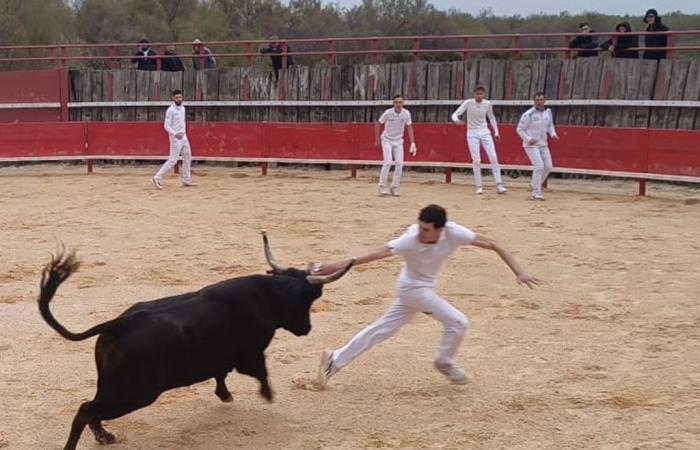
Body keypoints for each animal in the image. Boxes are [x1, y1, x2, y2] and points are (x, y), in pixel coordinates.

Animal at [36, 234, 352, 450]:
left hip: (113, 386)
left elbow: (221, 373)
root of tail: (119, 323)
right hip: (137, 393)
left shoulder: (221, 356)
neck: (267, 295)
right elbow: (260, 372)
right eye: (308, 300)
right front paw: (267, 394)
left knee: (90, 407)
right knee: (86, 410)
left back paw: (105, 437)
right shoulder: (251, 353)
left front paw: (225, 395)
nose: (307, 329)